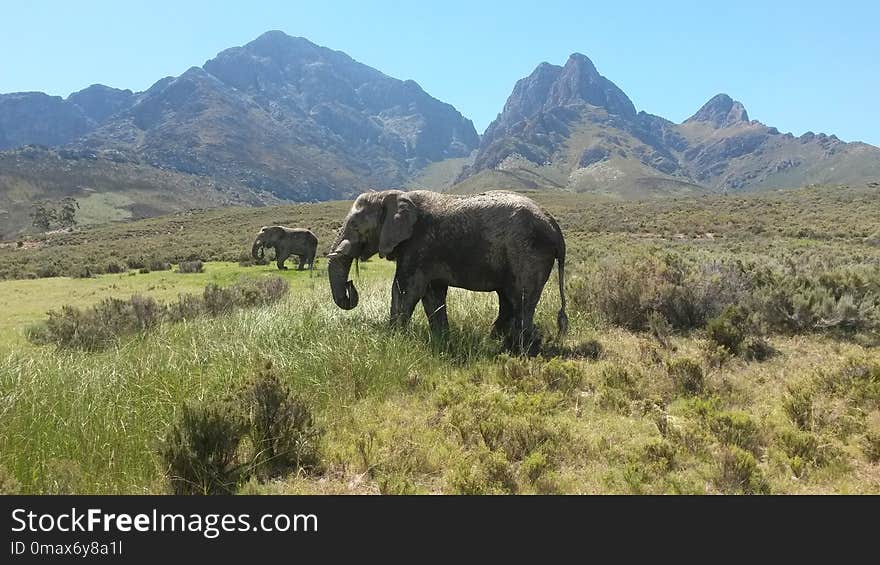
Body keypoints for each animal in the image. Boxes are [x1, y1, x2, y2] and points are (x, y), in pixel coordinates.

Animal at [326, 189, 568, 352]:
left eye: (355, 225)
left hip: (529, 253)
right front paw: (441, 342)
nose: (350, 286)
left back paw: (522, 350)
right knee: (508, 299)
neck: (391, 195)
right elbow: (432, 295)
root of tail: (556, 230)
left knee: (521, 299)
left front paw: (392, 341)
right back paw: (497, 343)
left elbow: (405, 291)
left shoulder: (418, 246)